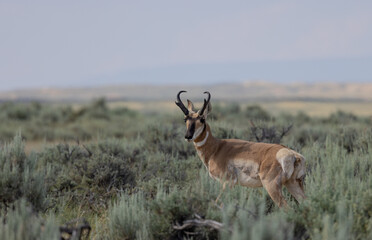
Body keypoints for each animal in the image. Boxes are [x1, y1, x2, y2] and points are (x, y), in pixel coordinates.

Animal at [176, 91, 306, 207]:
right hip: (293, 184)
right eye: (185, 119)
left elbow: (217, 203)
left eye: (202, 119)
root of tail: (292, 154)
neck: (217, 148)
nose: (188, 136)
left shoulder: (227, 183)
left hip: (272, 187)